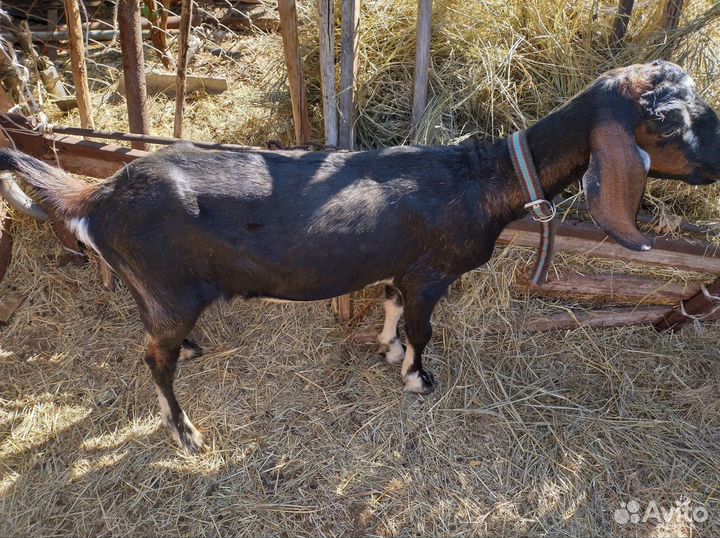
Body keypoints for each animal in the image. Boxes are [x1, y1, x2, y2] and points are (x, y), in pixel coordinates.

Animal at [1, 60, 719, 452]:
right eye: (670, 121)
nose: (717, 163)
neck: (485, 178)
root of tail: (98, 196)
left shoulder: (404, 266)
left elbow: (393, 307)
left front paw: (387, 348)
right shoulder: (433, 274)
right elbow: (425, 329)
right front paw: (417, 378)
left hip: (154, 288)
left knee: (154, 337)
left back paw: (197, 350)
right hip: (169, 287)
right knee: (152, 357)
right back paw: (185, 433)